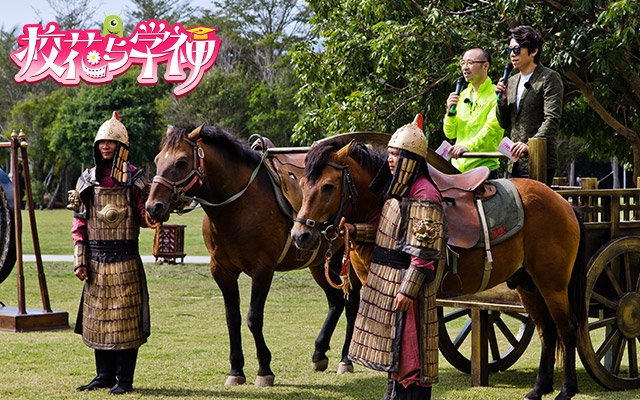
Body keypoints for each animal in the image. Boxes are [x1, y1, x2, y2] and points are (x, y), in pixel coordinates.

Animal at [145, 126, 362, 388]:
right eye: (158, 160)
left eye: (181, 161)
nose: (153, 207)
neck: (239, 206)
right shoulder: (222, 271)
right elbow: (233, 318)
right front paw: (236, 369)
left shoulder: (262, 270)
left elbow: (253, 318)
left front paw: (264, 369)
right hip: (318, 264)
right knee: (335, 301)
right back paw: (319, 353)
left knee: (351, 304)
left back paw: (346, 359)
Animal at [292, 138, 588, 400]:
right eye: (303, 184)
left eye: (328, 186)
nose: (300, 236)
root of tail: (564, 203)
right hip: (529, 284)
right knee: (547, 331)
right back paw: (539, 388)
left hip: (553, 284)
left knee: (566, 328)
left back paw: (566, 390)